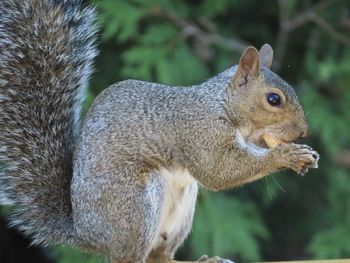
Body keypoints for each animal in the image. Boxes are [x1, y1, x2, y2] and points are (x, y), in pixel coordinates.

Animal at [0, 0, 320, 263]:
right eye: (274, 99)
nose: (304, 132)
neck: (220, 104)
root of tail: (84, 232)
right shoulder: (199, 131)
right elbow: (218, 170)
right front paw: (287, 155)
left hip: (181, 209)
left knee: (160, 256)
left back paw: (204, 261)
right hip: (134, 205)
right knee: (130, 258)